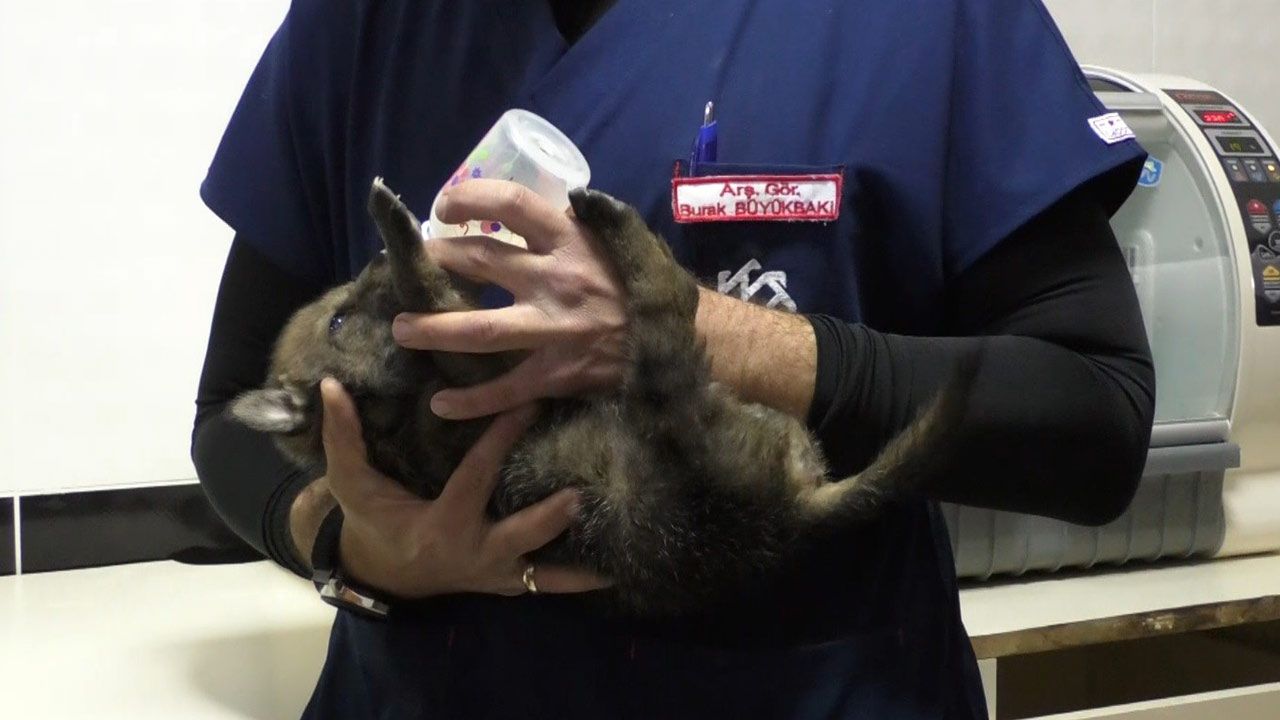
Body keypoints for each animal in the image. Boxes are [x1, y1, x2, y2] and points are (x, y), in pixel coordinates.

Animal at [229, 177, 975, 616]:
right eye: (337, 323)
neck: (392, 415)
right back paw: (613, 222)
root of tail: (790, 510)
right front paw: (398, 227)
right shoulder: (481, 362)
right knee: (667, 300)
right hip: (666, 383)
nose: (373, 259)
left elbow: (436, 294)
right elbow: (431, 295)